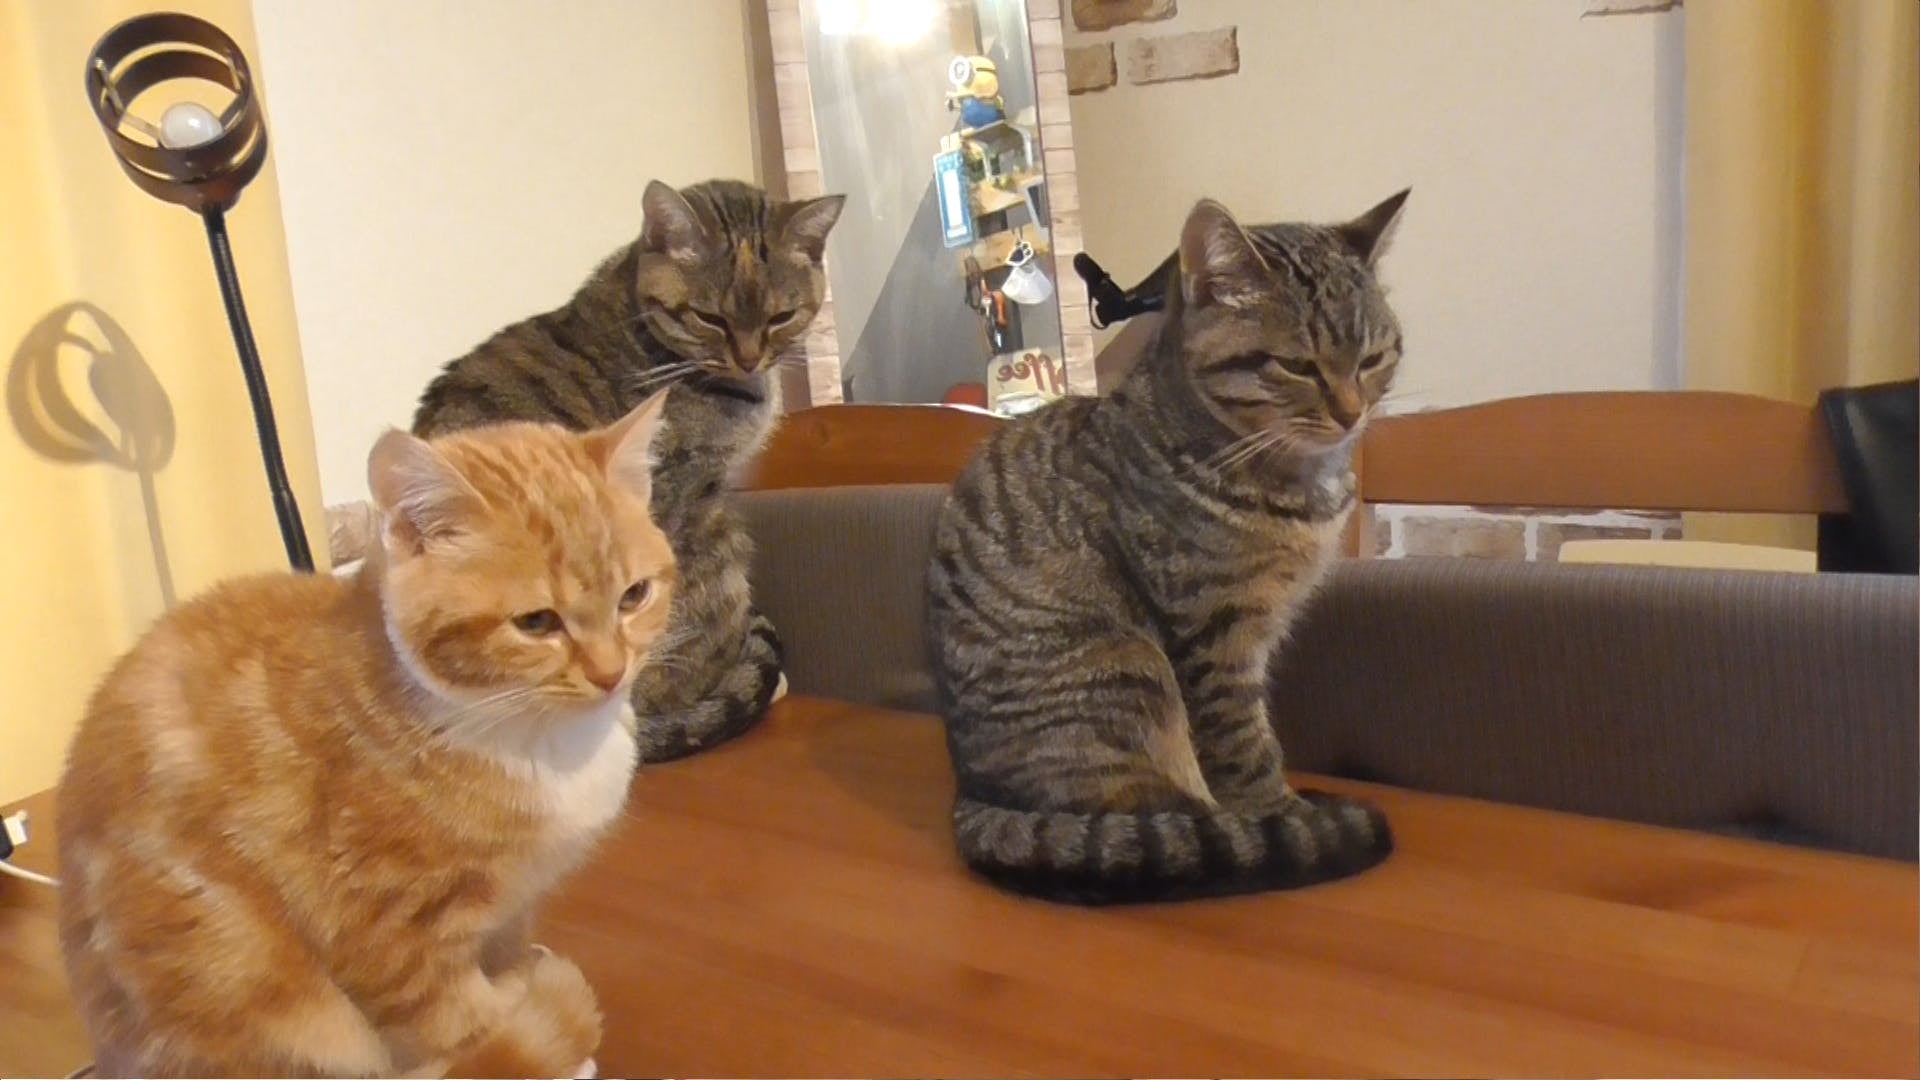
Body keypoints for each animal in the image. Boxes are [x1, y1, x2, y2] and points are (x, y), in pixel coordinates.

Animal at [57, 392, 676, 1078]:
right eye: (537, 623)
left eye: (634, 596)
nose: (610, 674)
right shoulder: (389, 939)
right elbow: (467, 1032)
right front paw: (534, 1037)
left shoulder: (514, 908)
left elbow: (510, 963)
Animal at [926, 191, 1411, 904]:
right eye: (1297, 366)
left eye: (1374, 359)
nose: (1353, 414)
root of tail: (974, 795)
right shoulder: (1214, 635)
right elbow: (1246, 752)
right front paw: (1286, 820)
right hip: (1131, 667)